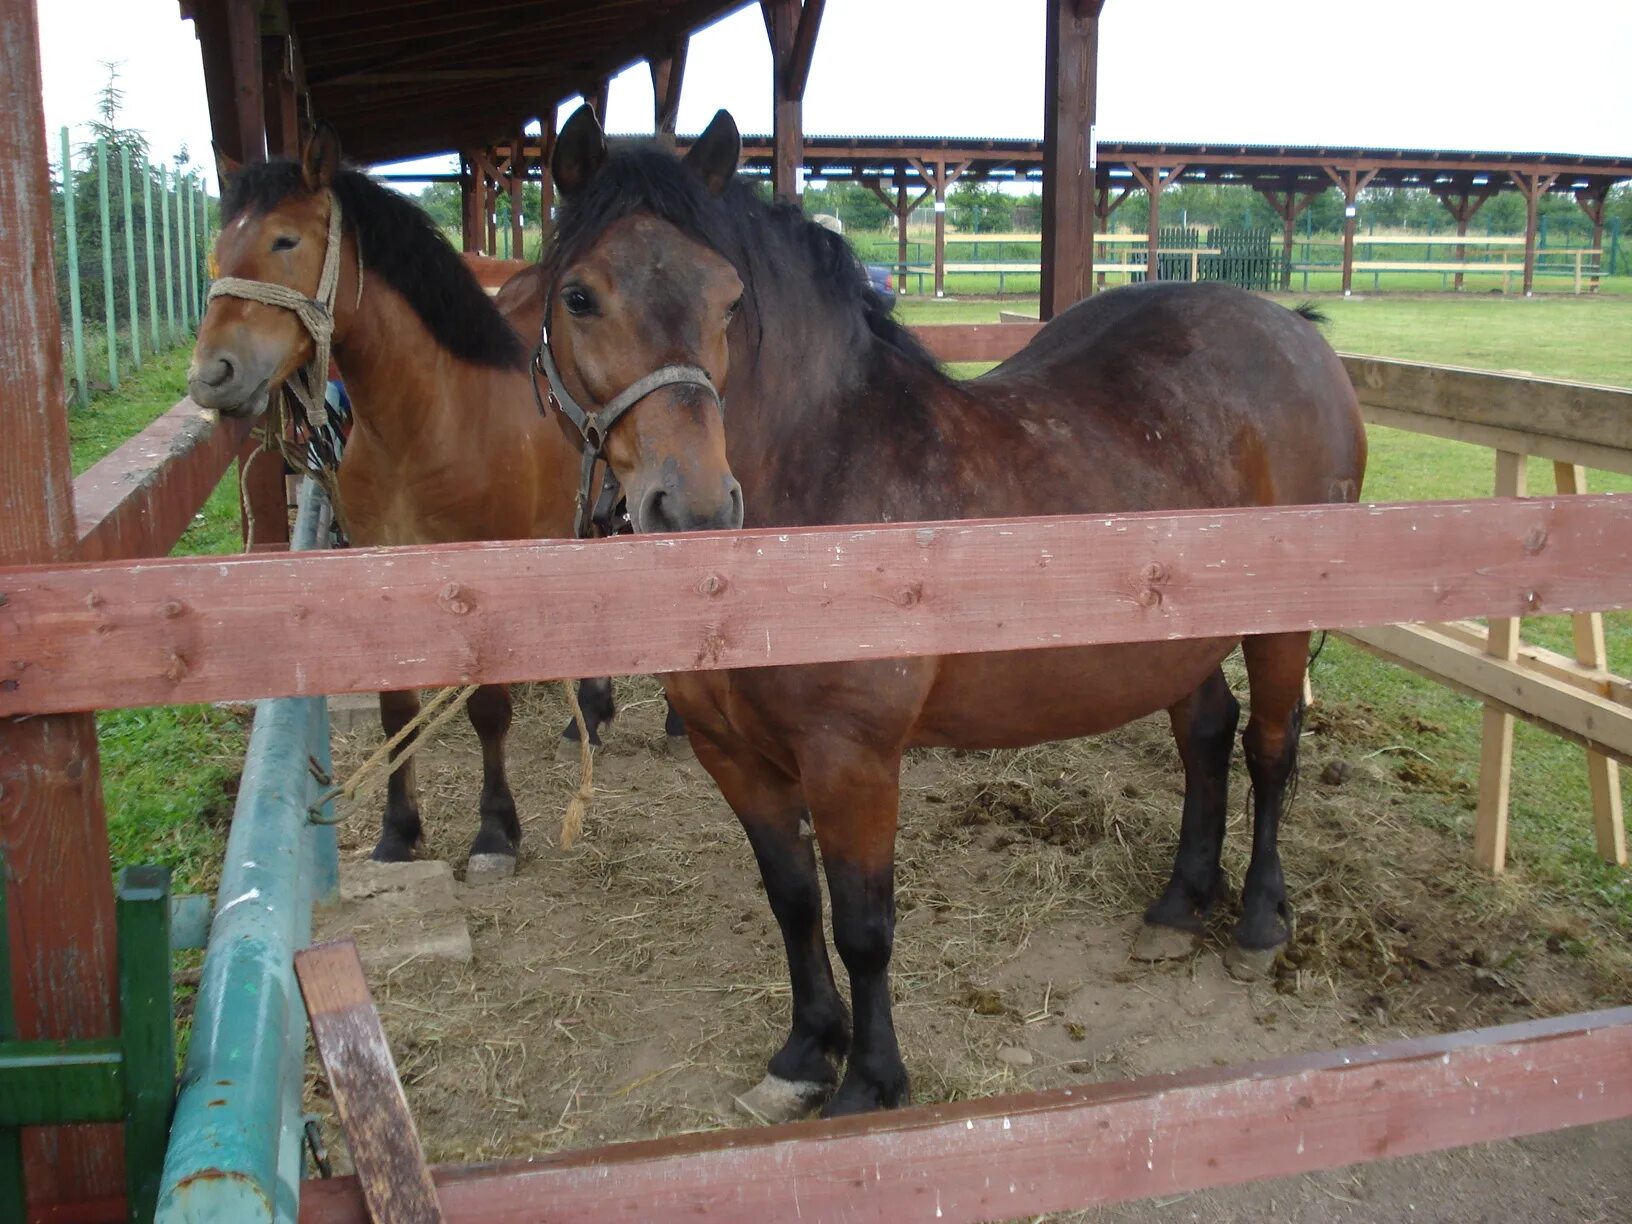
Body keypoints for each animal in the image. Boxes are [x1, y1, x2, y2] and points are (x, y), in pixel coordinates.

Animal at [187, 132, 603, 881]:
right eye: (217, 250)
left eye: (285, 239)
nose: (212, 376)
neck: (435, 419)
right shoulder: (385, 569)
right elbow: (394, 707)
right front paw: (397, 831)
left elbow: (487, 710)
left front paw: (495, 832)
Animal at [541, 110, 1370, 1129]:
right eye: (580, 295)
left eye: (730, 299)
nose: (692, 506)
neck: (820, 490)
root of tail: (1295, 331)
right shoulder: (729, 751)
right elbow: (791, 901)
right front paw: (804, 1054)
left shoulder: (852, 758)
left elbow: (863, 925)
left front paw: (870, 1082)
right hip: (1175, 638)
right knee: (1208, 735)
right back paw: (1180, 905)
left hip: (1278, 623)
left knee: (1271, 748)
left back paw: (1256, 921)